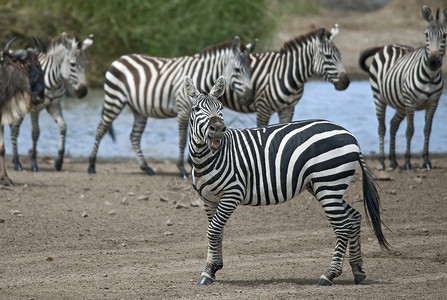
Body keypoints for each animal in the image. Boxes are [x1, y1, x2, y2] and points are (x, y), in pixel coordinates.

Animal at [9, 31, 93, 172]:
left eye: (86, 64)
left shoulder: (54, 105)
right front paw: (34, 164)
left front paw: (59, 162)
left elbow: (63, 127)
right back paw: (17, 163)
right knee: (14, 130)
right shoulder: (35, 108)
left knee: (12, 128)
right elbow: (35, 133)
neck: (54, 83)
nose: (83, 92)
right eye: (72, 64)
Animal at [86, 36, 256, 179]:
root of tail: (120, 58)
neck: (201, 76)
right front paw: (182, 168)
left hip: (138, 109)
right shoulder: (183, 110)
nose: (249, 98)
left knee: (134, 136)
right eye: (237, 70)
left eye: (251, 71)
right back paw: (91, 165)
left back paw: (146, 167)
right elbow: (182, 139)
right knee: (101, 128)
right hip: (114, 99)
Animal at [184, 76, 390, 288]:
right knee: (354, 217)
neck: (210, 158)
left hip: (328, 184)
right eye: (196, 109)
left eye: (220, 108)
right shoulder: (209, 199)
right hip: (325, 186)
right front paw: (213, 267)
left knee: (342, 226)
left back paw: (329, 274)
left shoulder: (233, 193)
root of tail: (351, 135)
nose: (217, 129)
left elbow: (213, 230)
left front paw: (208, 271)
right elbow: (217, 232)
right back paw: (357, 269)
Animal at [360, 6, 447, 171]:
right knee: (382, 128)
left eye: (445, 35)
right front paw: (407, 161)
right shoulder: (411, 103)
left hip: (401, 104)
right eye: (426, 34)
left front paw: (426, 161)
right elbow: (410, 130)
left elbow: (427, 130)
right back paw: (382, 161)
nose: (433, 62)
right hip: (379, 97)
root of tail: (387, 45)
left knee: (393, 124)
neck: (430, 76)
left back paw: (393, 160)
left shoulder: (433, 103)